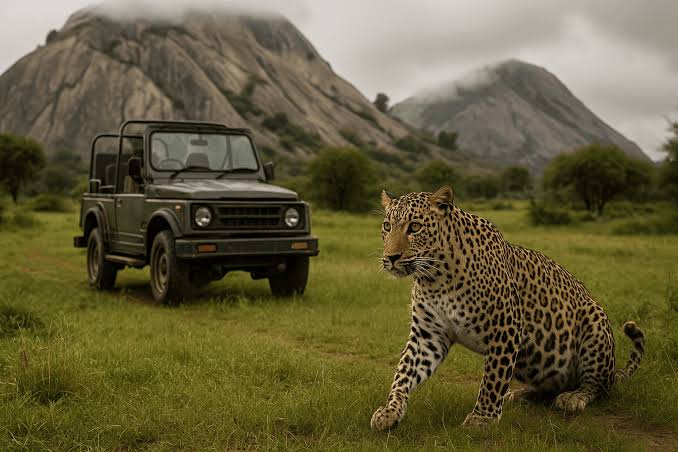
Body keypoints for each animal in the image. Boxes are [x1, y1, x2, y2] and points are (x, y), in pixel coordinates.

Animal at [371, 186, 645, 429]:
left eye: (415, 227)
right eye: (387, 226)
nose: (390, 257)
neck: (436, 277)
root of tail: (613, 371)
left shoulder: (505, 327)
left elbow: (493, 378)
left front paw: (483, 418)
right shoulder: (428, 335)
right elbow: (404, 372)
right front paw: (390, 411)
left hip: (595, 322)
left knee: (597, 387)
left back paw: (573, 397)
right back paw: (519, 395)